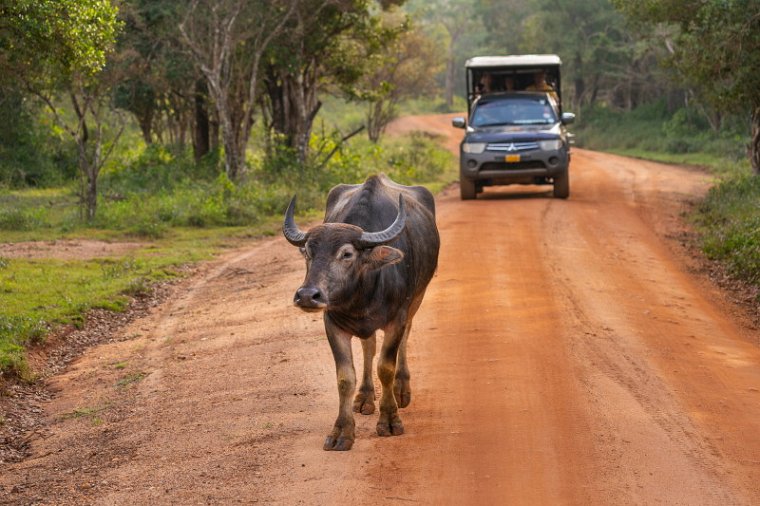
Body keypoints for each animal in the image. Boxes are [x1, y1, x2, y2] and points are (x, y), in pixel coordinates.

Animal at [284, 175, 440, 450]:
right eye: (309, 253)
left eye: (346, 254)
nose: (307, 295)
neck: (362, 291)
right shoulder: (332, 323)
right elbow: (345, 378)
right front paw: (342, 432)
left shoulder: (396, 320)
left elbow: (385, 368)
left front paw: (389, 420)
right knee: (369, 346)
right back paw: (365, 397)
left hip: (417, 299)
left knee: (405, 338)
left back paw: (402, 389)